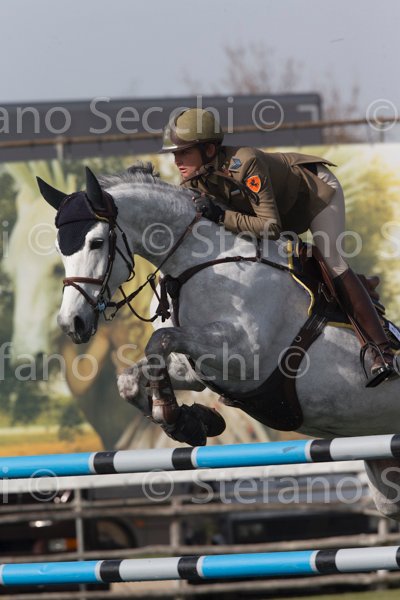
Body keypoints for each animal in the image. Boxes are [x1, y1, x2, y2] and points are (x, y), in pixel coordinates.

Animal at [37, 163, 400, 521]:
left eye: (96, 242)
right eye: (59, 249)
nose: (71, 323)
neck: (200, 262)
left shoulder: (244, 354)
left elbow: (159, 339)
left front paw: (174, 414)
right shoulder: (197, 367)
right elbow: (131, 378)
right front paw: (189, 422)